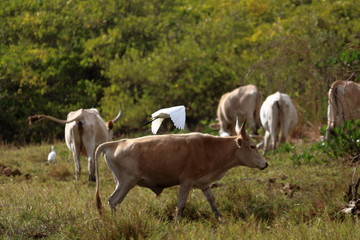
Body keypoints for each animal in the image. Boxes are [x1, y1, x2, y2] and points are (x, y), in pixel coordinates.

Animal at [94, 120, 268, 219]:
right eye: (252, 146)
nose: (265, 164)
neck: (209, 148)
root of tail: (116, 143)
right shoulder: (186, 182)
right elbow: (181, 205)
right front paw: (177, 223)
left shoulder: (204, 184)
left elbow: (212, 201)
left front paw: (220, 218)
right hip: (126, 183)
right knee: (113, 201)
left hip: (122, 182)